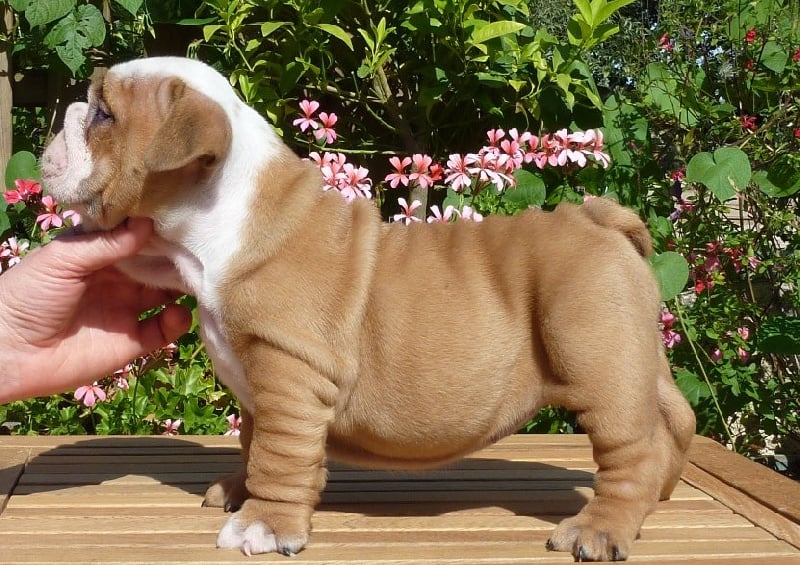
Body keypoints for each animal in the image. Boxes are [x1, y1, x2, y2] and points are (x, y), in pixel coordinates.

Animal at [41, 56, 695, 561]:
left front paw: (263, 524)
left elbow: (278, 455)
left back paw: (600, 530)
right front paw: (240, 489)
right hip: (632, 362)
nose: (63, 113)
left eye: (103, 114)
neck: (211, 230)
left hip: (598, 361)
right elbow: (255, 443)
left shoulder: (288, 376)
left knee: (630, 452)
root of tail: (597, 218)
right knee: (670, 424)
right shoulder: (261, 387)